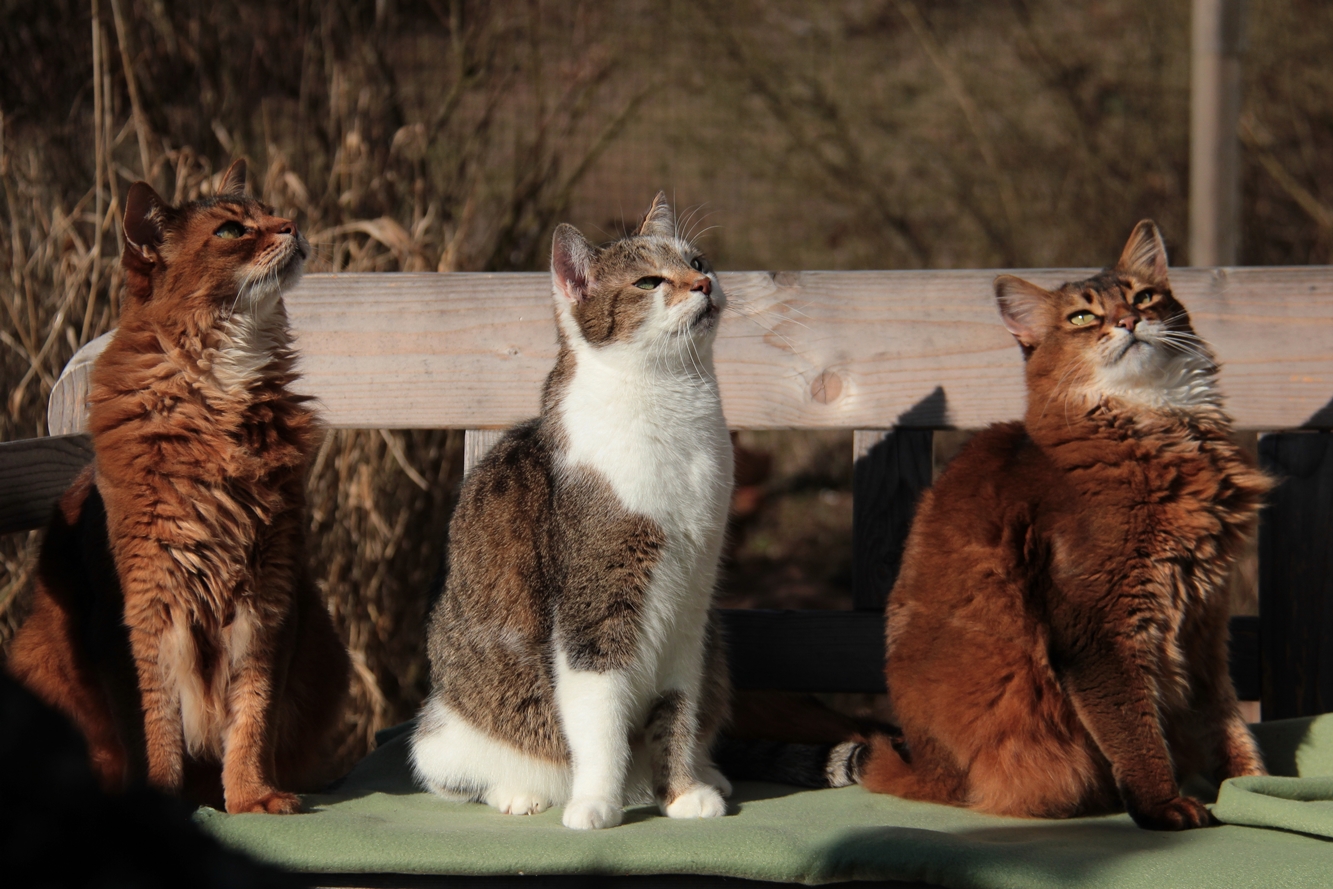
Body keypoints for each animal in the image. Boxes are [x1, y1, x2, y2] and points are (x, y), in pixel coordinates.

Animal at [6, 157, 349, 815]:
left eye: (270, 212)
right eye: (231, 231)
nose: (292, 225)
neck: (220, 386)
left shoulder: (271, 596)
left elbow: (253, 713)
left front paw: (250, 795)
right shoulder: (141, 607)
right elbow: (153, 727)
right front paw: (165, 800)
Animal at [410, 194, 735, 826]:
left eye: (697, 260)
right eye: (649, 282)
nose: (705, 283)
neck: (672, 405)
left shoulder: (692, 609)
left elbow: (677, 707)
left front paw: (682, 792)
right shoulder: (595, 603)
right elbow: (598, 712)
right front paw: (597, 804)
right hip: (439, 736)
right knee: (462, 774)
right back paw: (522, 793)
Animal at [842, 218, 1269, 831]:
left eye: (1145, 297)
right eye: (1083, 318)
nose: (1129, 321)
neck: (1154, 422)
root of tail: (928, 766)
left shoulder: (1204, 621)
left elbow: (1224, 718)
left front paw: (1251, 787)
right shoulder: (1100, 627)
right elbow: (1135, 728)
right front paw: (1163, 805)